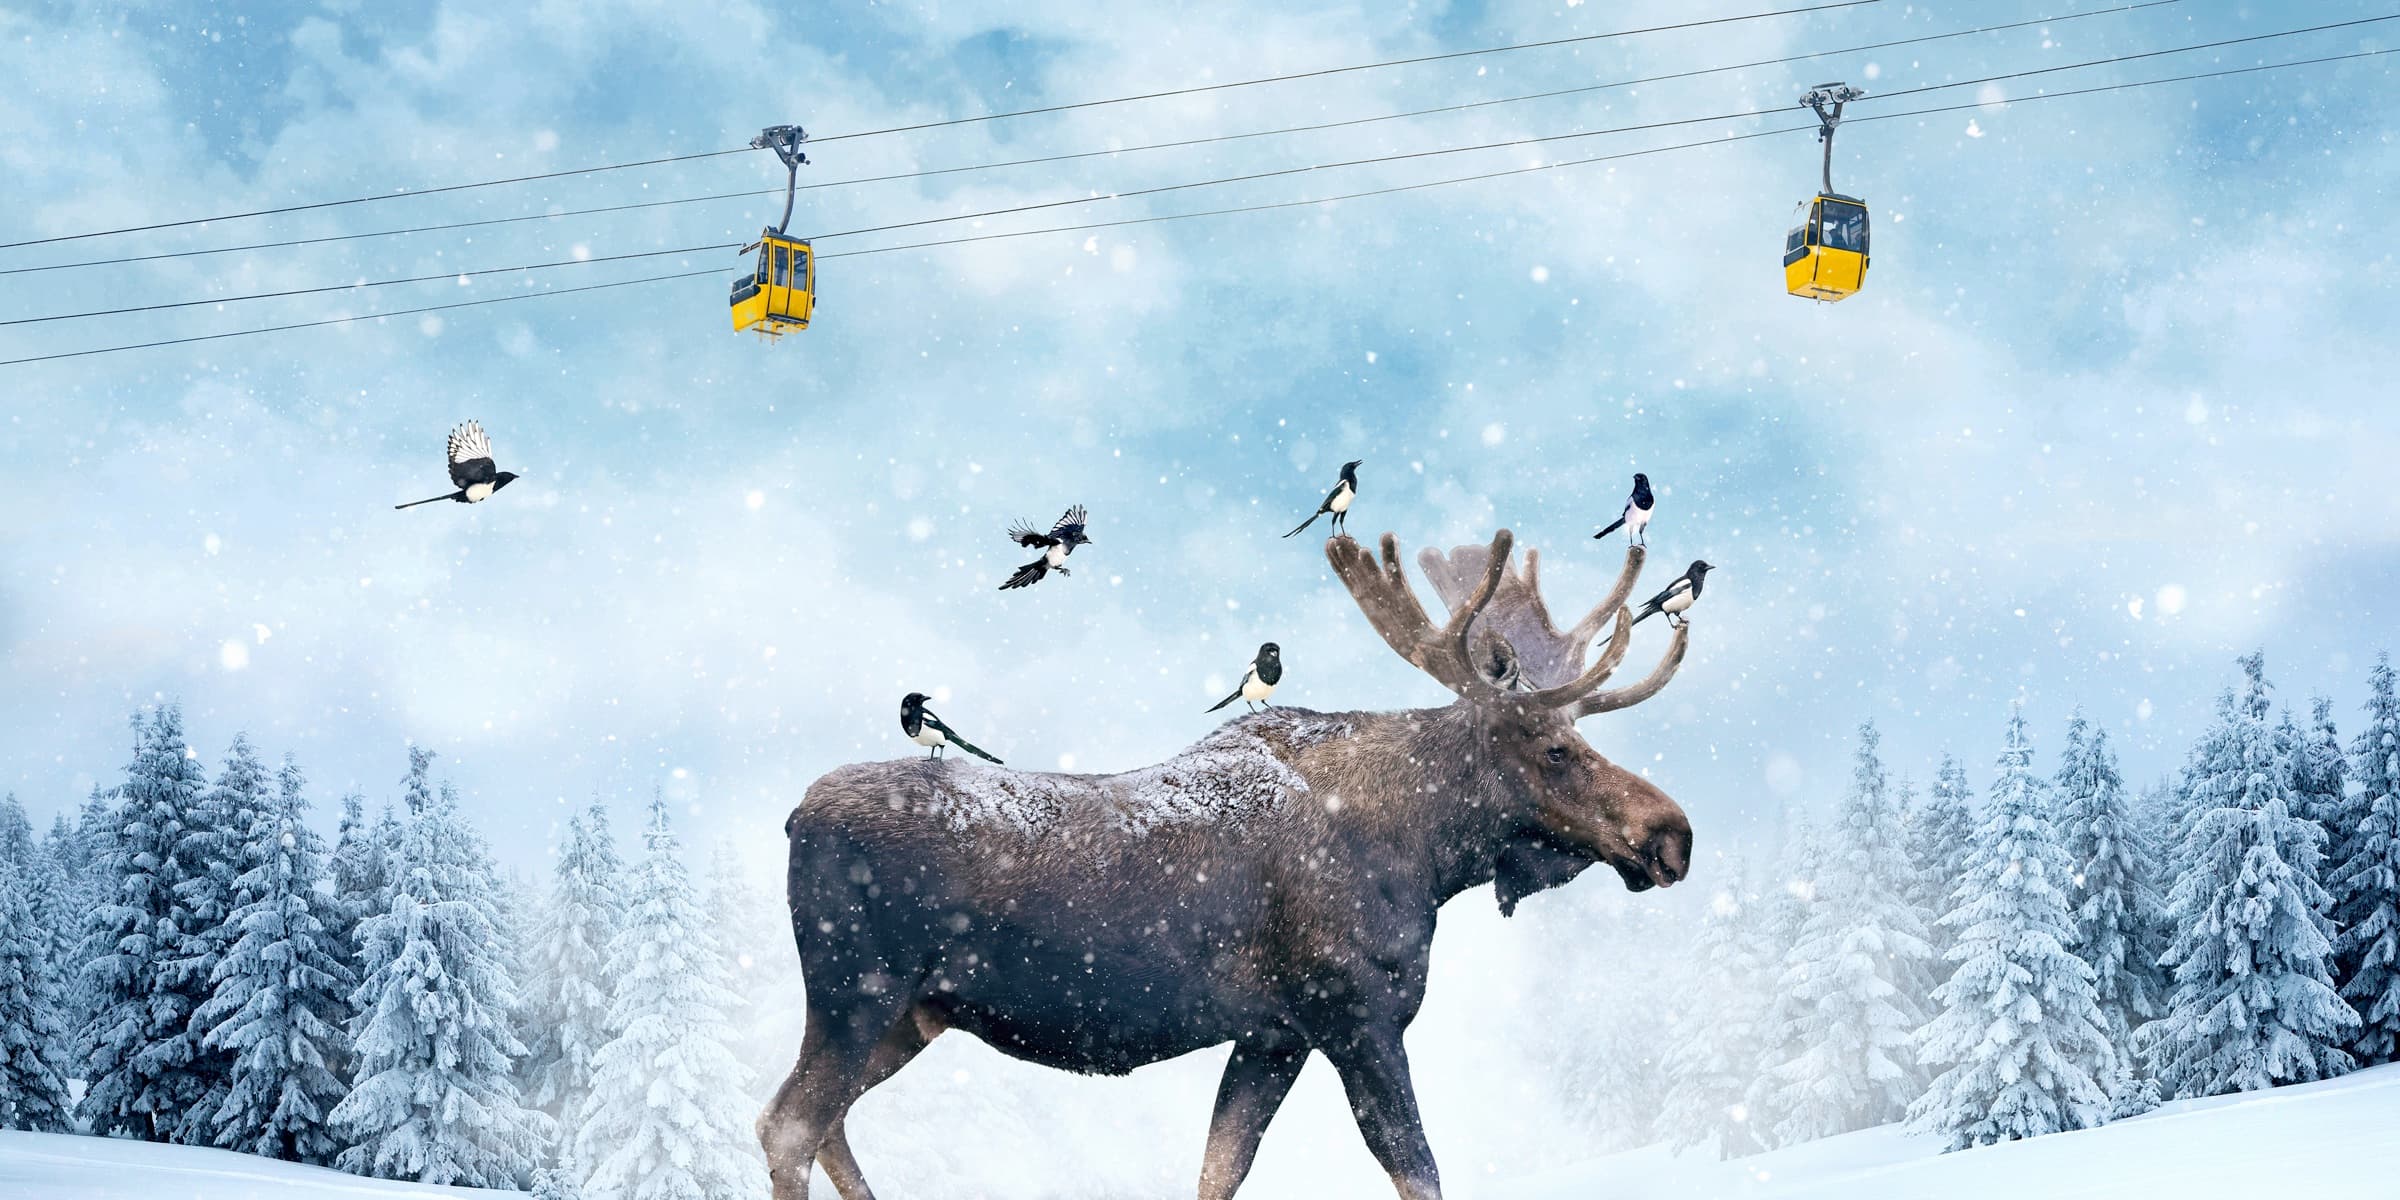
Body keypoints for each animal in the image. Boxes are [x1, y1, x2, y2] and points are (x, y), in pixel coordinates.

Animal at [763, 529, 1696, 1200]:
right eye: (1553, 749)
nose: (1673, 833)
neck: (1424, 853)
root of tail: (794, 816)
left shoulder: (1271, 1034)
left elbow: (1221, 1167)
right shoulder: (1357, 1016)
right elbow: (1418, 1170)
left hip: (911, 1015)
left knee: (823, 1124)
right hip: (857, 991)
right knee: (789, 1125)